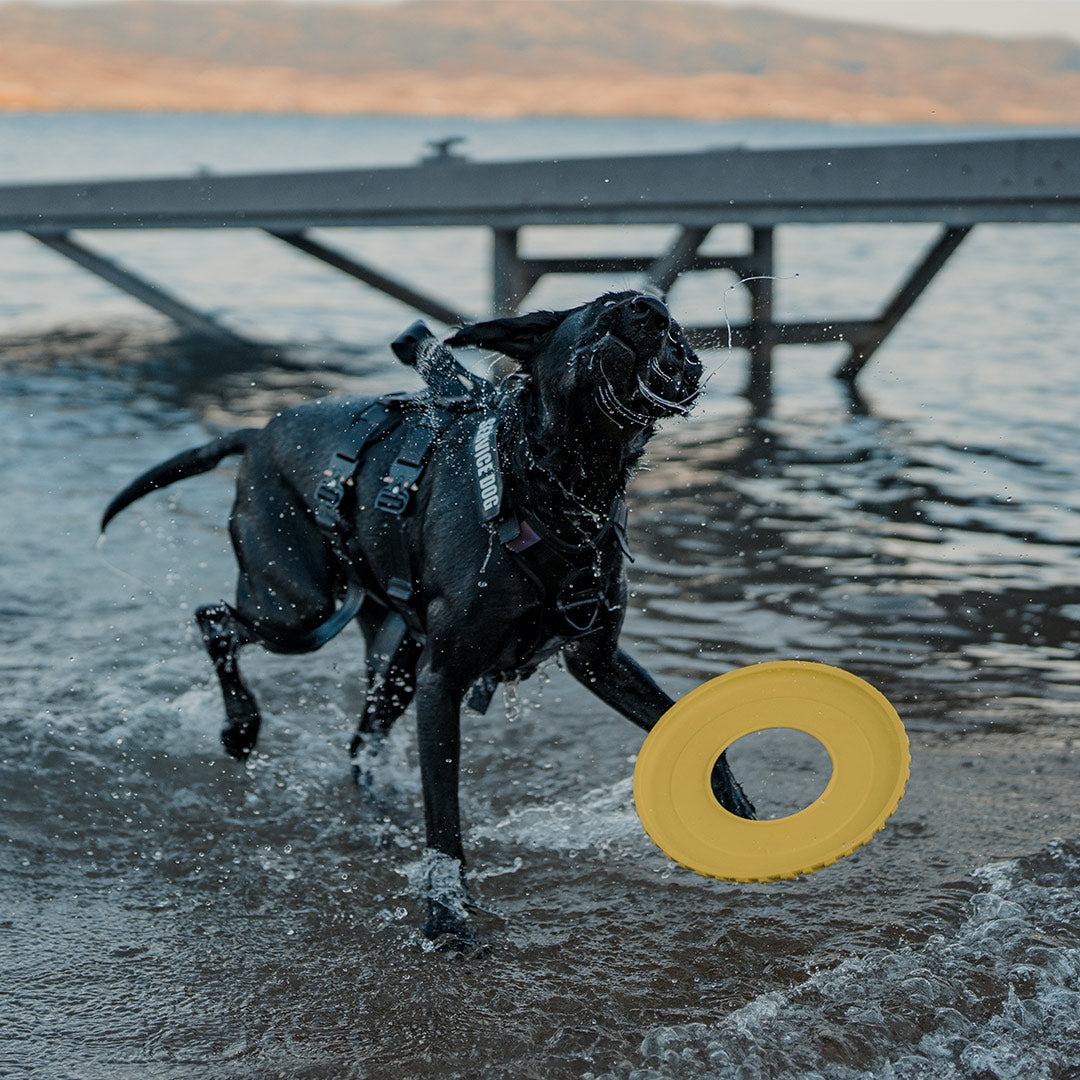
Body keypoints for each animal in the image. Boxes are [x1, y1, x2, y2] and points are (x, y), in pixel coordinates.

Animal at [105, 291, 756, 941]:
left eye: (674, 325)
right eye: (603, 307)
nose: (650, 308)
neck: (556, 494)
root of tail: (256, 432)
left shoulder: (596, 659)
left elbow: (678, 719)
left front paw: (732, 804)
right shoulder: (441, 683)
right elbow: (444, 818)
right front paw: (446, 914)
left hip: (390, 656)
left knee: (358, 744)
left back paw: (381, 819)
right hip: (299, 607)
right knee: (213, 618)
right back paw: (241, 728)